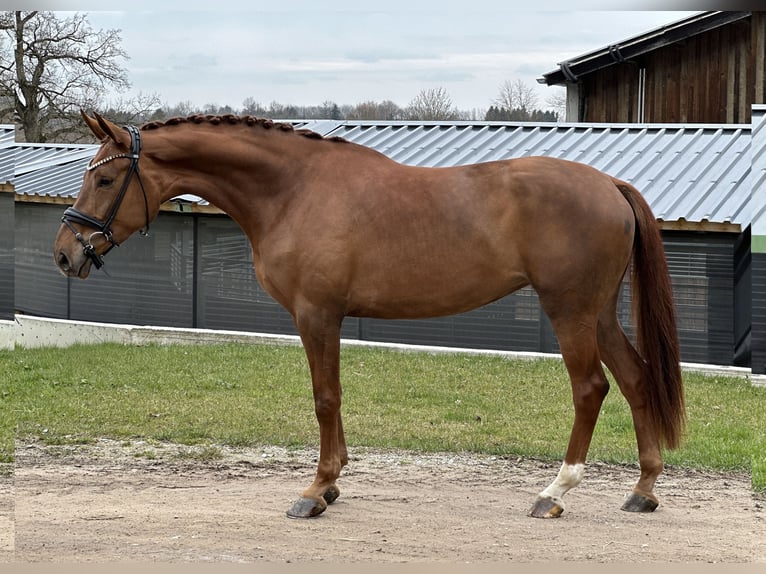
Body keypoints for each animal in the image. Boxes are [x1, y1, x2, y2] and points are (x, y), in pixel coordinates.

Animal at [54, 112, 685, 520]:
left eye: (105, 178)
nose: (64, 253)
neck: (293, 190)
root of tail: (609, 184)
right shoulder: (324, 317)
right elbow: (331, 398)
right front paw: (331, 486)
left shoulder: (317, 315)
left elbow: (324, 397)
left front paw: (316, 490)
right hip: (597, 314)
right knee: (635, 380)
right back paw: (643, 489)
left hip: (570, 310)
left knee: (591, 388)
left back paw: (555, 492)